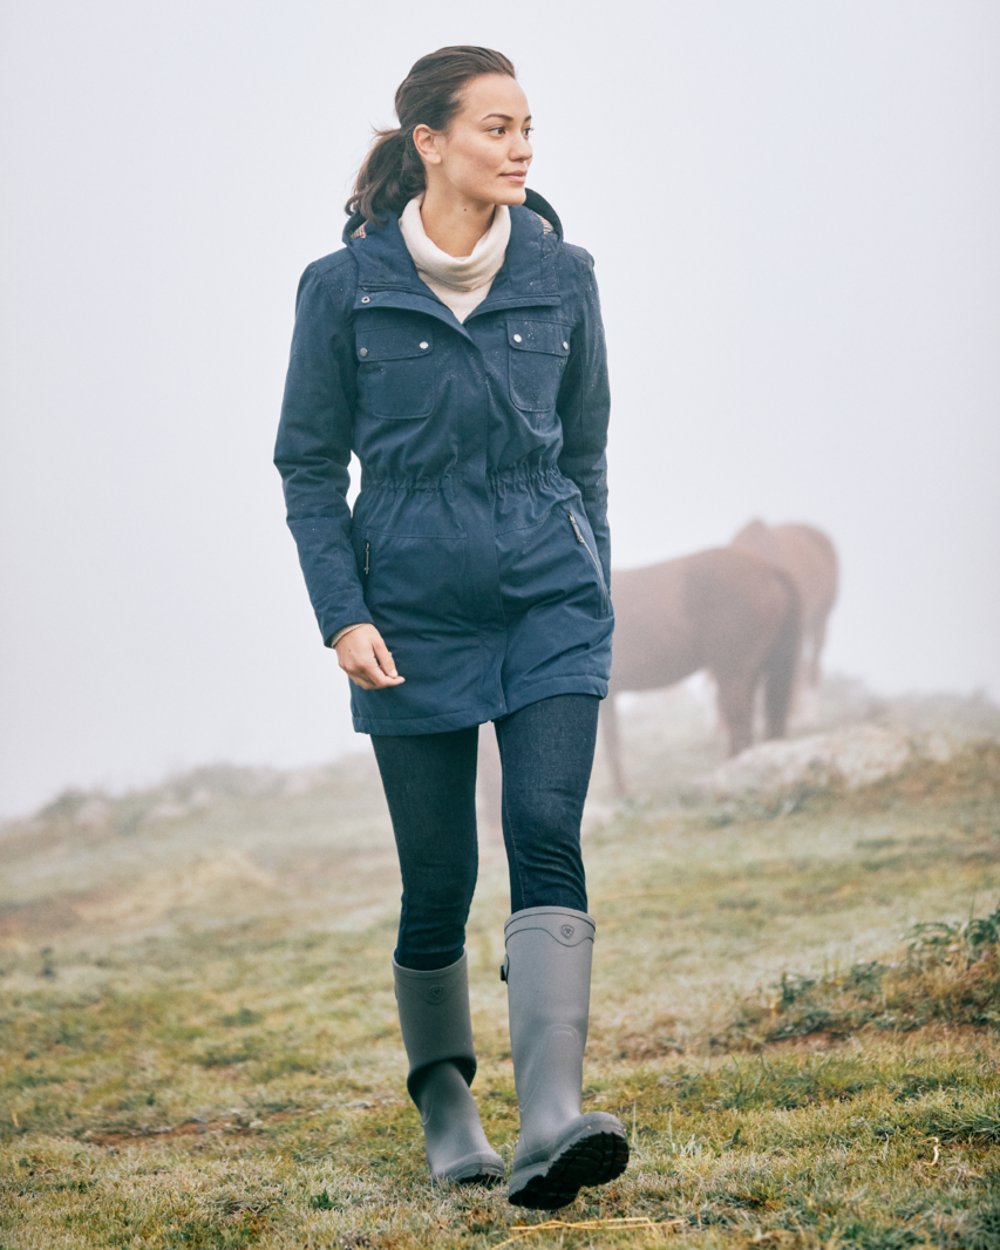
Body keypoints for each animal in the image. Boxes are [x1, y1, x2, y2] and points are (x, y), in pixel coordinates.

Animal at [602, 550, 805, 800]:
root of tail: (770, 569)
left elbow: (610, 743)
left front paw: (620, 792)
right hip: (753, 671)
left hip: (732, 672)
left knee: (739, 722)